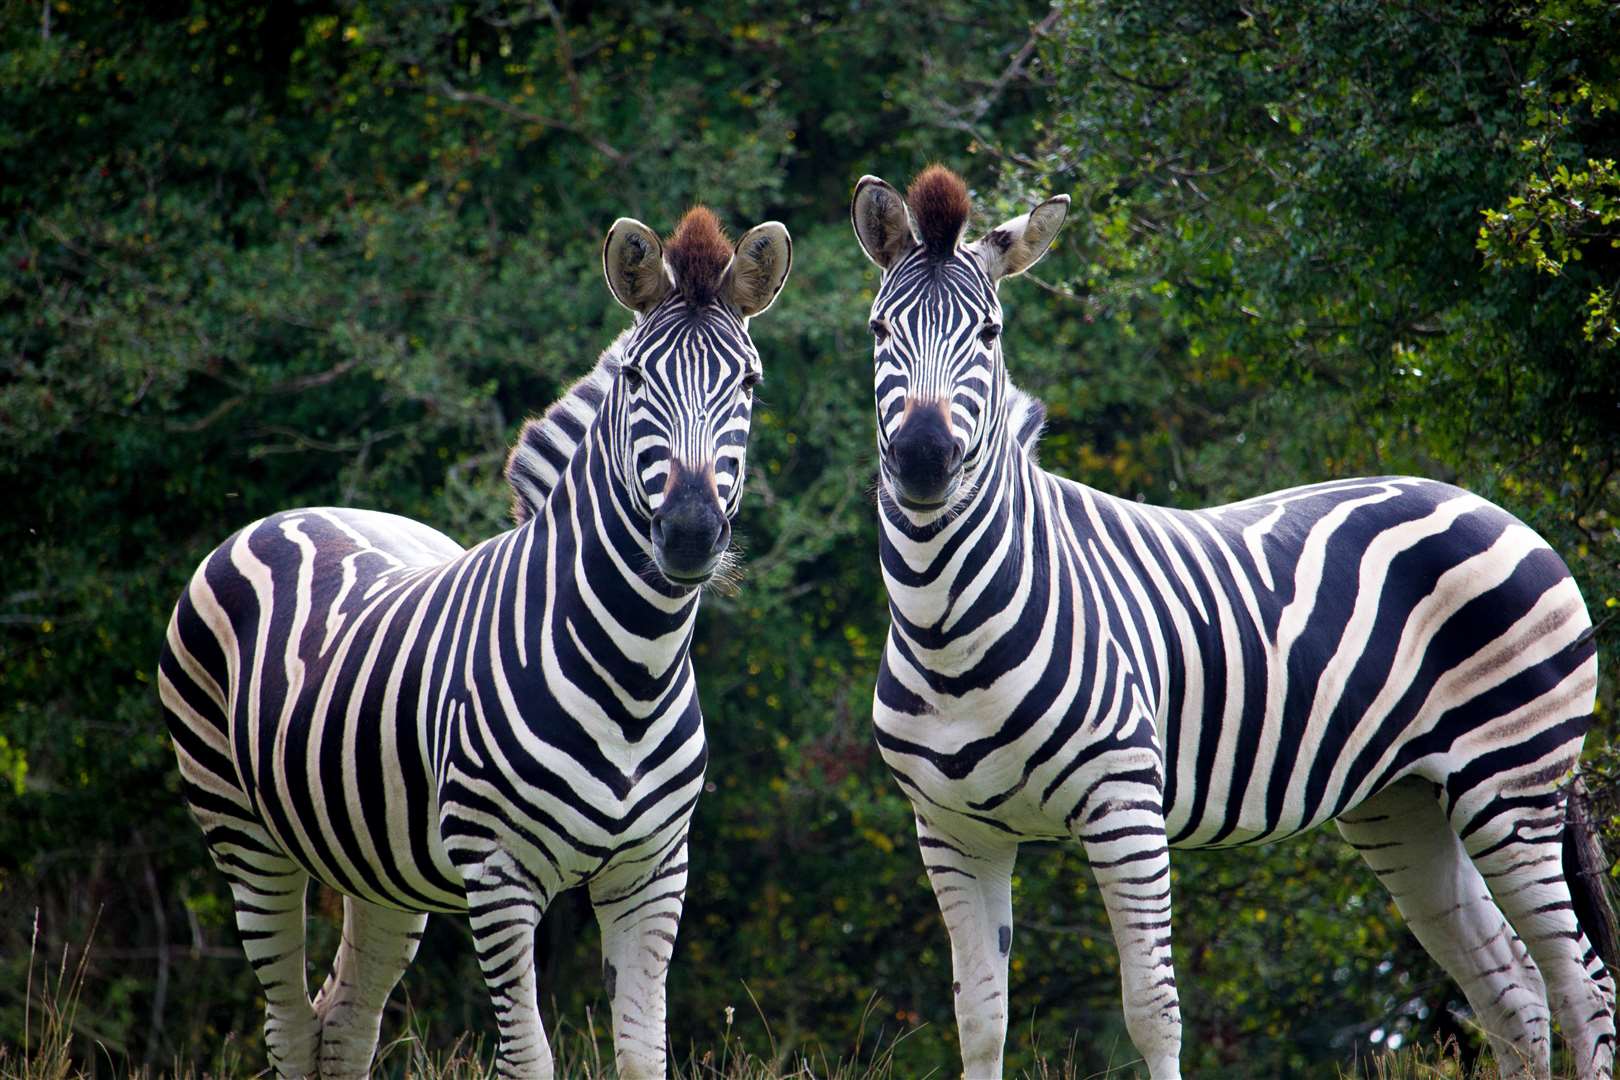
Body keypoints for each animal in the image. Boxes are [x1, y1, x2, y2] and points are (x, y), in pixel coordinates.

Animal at [157, 207, 790, 1075]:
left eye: (750, 385)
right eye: (634, 380)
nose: (691, 531)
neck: (634, 673)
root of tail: (298, 512)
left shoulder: (653, 873)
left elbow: (642, 1056)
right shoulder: (498, 874)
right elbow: (529, 1059)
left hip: (378, 867)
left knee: (343, 1022)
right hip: (243, 834)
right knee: (287, 1023)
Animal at [855, 165, 1613, 1075]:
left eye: (990, 332)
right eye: (879, 327)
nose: (923, 459)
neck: (947, 627)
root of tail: (1499, 510)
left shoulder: (1123, 804)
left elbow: (1152, 1010)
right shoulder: (953, 830)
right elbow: (979, 1016)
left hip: (1513, 780)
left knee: (1580, 985)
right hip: (1404, 803)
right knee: (1513, 988)